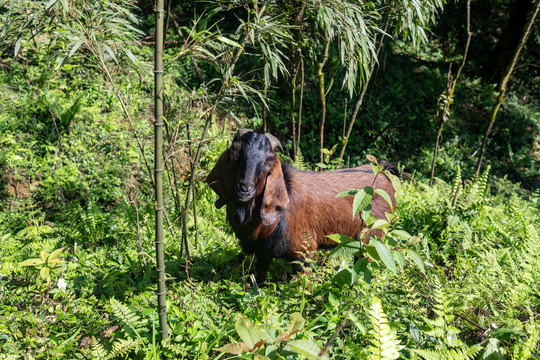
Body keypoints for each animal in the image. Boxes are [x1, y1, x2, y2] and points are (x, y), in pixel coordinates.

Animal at [206, 129, 396, 284]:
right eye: (233, 153)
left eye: (269, 162)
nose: (245, 188)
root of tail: (382, 172)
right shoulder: (265, 251)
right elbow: (261, 275)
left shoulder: (305, 250)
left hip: (371, 237)